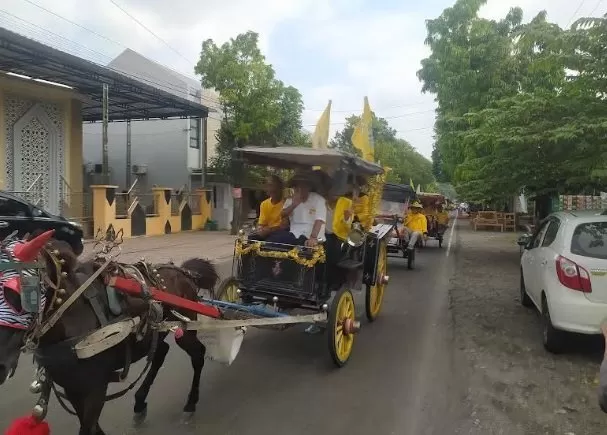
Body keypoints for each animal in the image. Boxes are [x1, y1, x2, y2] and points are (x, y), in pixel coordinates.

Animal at [0, 233, 221, 435]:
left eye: (16, 292)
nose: (1, 367)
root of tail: (186, 273)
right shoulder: (72, 388)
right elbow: (93, 428)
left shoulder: (95, 388)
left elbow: (88, 428)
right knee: (161, 352)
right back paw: (140, 402)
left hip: (185, 328)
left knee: (197, 354)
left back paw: (190, 403)